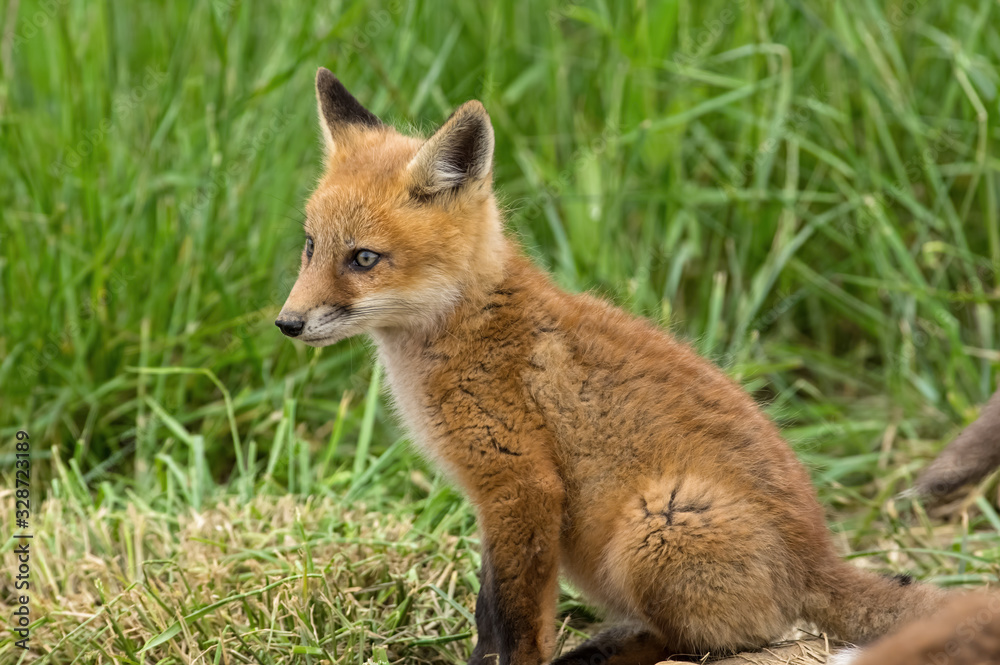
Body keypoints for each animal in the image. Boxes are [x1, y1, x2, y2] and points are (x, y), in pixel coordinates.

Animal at [276, 67, 981, 664]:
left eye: (364, 259)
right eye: (310, 247)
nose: (287, 324)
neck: (466, 330)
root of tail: (819, 558)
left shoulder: (522, 485)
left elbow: (517, 618)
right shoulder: (496, 502)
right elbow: (486, 613)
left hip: (655, 525)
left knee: (708, 640)